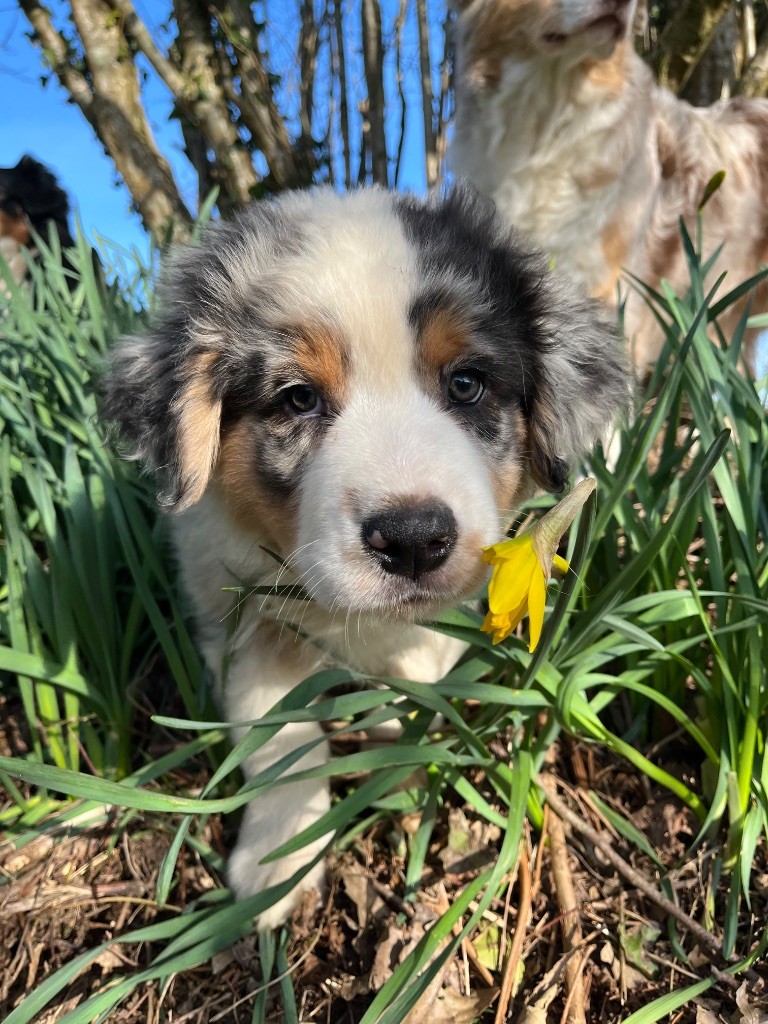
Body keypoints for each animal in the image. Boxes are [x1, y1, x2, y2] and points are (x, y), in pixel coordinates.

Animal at [105, 184, 626, 929]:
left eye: (466, 383)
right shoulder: (240, 613)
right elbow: (281, 738)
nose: (411, 538)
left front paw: (395, 742)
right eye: (297, 397)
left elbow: (416, 670)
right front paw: (277, 866)